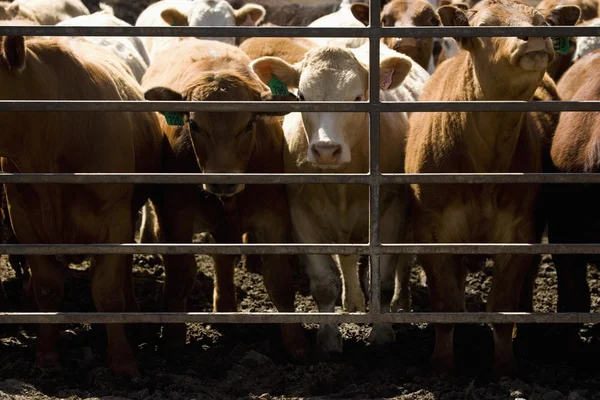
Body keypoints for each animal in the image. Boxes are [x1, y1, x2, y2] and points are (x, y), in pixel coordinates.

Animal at [0, 34, 163, 376]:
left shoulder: (115, 220)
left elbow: (108, 292)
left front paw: (123, 361)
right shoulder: (23, 220)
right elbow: (48, 288)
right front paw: (47, 357)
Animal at [142, 37, 308, 360]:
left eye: (249, 124)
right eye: (194, 125)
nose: (223, 180)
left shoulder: (273, 219)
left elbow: (280, 283)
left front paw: (296, 345)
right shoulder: (175, 219)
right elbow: (179, 278)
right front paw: (173, 342)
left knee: (223, 256)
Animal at [251, 41, 428, 354]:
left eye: (357, 97)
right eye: (302, 96)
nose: (325, 150)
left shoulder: (391, 214)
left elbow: (381, 281)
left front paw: (383, 332)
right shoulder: (302, 218)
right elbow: (324, 284)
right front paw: (328, 338)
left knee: (404, 262)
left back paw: (400, 302)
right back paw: (353, 303)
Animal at [404, 0, 580, 376]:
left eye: (542, 21)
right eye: (484, 26)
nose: (533, 37)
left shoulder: (518, 232)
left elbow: (502, 303)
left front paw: (504, 364)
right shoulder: (432, 230)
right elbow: (446, 304)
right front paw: (442, 364)